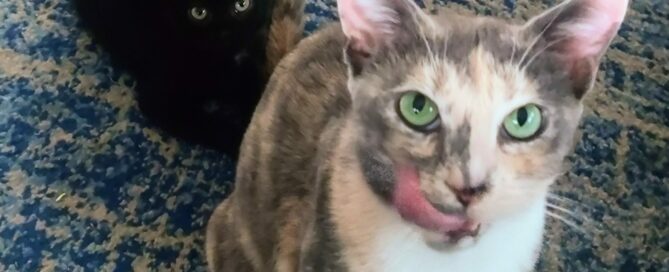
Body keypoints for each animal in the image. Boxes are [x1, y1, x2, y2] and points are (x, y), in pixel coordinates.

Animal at [72, 0, 302, 157]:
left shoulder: (247, 60)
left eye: (242, 4)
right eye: (198, 13)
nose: (225, 33)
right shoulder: (158, 101)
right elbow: (210, 126)